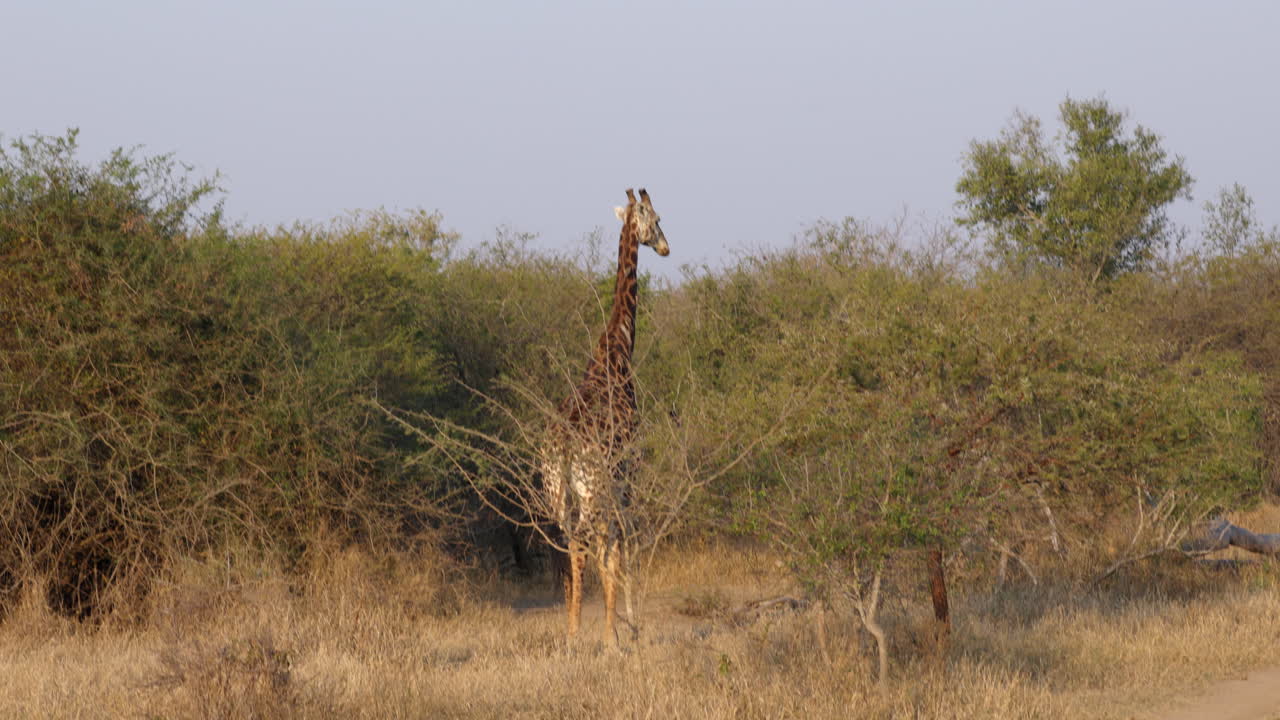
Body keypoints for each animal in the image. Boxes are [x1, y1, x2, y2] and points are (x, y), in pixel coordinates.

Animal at [542, 188, 669, 645]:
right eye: (657, 219)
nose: (666, 247)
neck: (617, 348)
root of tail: (563, 446)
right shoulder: (627, 472)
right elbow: (623, 542)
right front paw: (627, 625)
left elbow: (611, 546)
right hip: (593, 488)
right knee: (590, 543)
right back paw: (596, 633)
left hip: (557, 492)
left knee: (569, 545)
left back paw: (572, 628)